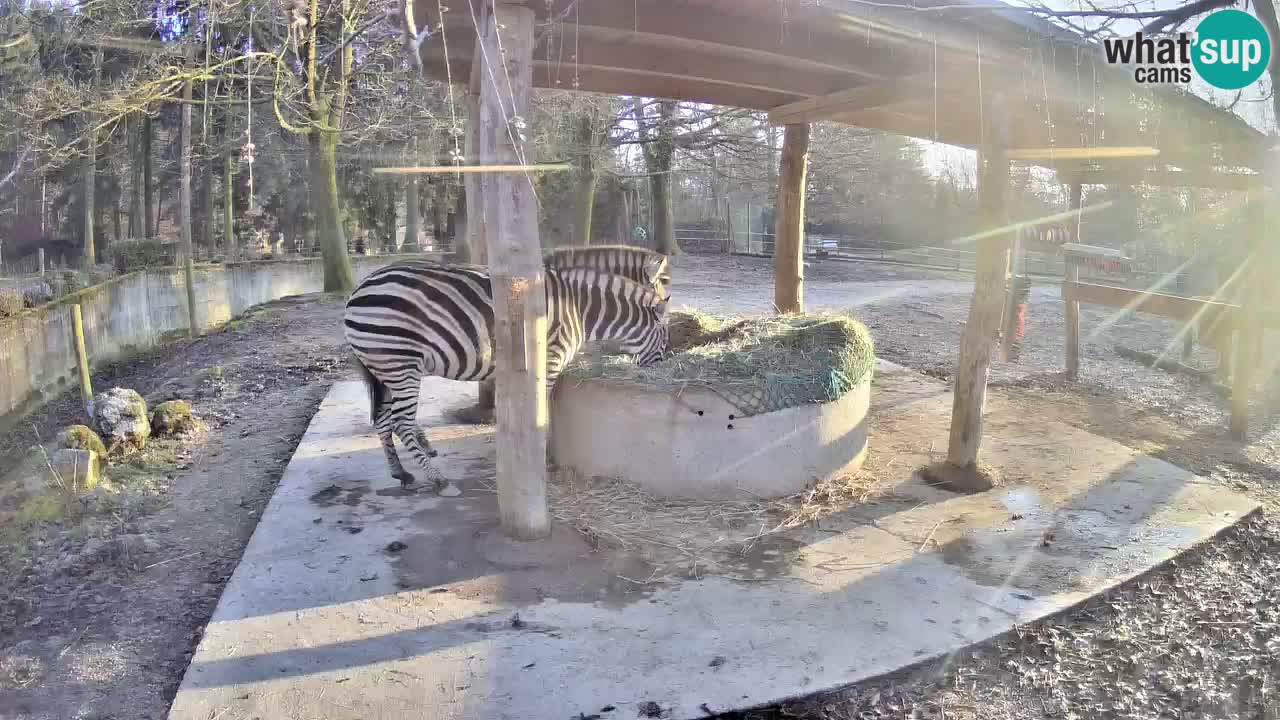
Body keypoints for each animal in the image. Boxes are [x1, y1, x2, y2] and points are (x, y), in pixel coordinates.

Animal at [345, 260, 675, 497]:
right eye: (666, 338)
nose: (663, 369)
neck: (579, 309)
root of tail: (357, 291)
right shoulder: (549, 359)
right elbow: (544, 411)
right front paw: (542, 455)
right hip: (400, 363)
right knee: (400, 421)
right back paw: (440, 482)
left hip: (384, 368)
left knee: (384, 420)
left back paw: (401, 473)